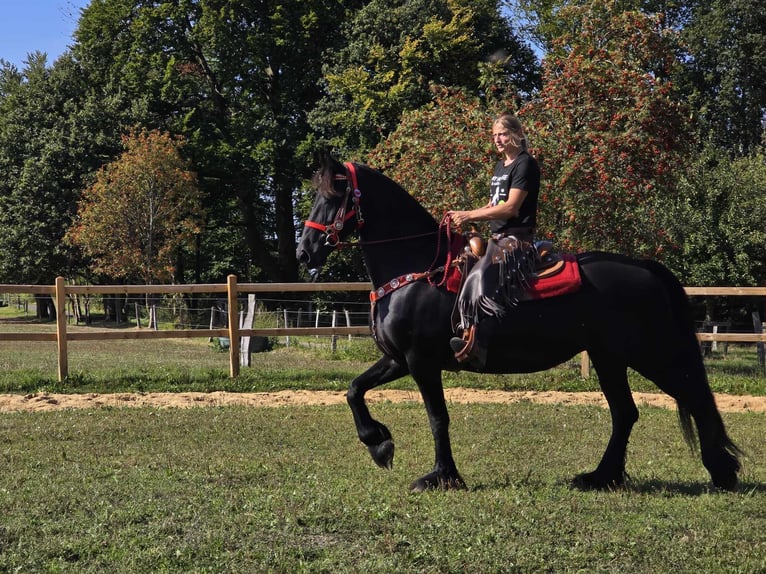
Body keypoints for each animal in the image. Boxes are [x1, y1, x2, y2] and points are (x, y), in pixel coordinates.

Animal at [296, 155, 740, 492]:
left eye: (333, 197)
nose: (304, 251)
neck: (419, 268)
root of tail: (645, 267)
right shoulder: (398, 359)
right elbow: (354, 390)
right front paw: (380, 445)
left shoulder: (421, 361)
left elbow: (437, 418)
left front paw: (442, 476)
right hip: (609, 357)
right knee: (626, 413)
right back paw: (601, 477)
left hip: (651, 353)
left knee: (694, 399)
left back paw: (722, 471)